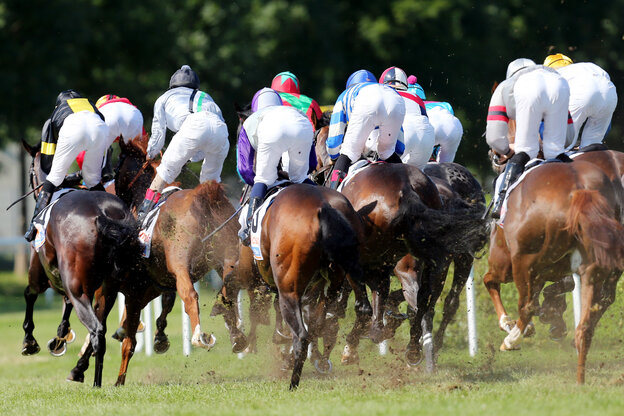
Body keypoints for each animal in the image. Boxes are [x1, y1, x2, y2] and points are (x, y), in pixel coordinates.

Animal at [20, 141, 138, 386]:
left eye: (30, 172)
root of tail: (103, 214)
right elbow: (65, 308)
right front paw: (59, 336)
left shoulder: (39, 271)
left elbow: (30, 294)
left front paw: (30, 341)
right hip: (109, 289)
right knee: (101, 325)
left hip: (78, 288)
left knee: (97, 330)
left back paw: (95, 383)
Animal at [246, 184, 366, 388]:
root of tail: (324, 207)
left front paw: (280, 339)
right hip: (338, 280)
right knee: (334, 317)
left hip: (289, 290)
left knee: (302, 335)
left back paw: (293, 382)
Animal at [482, 159, 624, 384]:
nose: (494, 159)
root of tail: (580, 191)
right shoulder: (544, 273)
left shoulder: (505, 266)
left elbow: (490, 281)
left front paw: (509, 324)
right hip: (593, 271)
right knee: (587, 324)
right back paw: (579, 381)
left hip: (521, 263)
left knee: (527, 306)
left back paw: (511, 339)